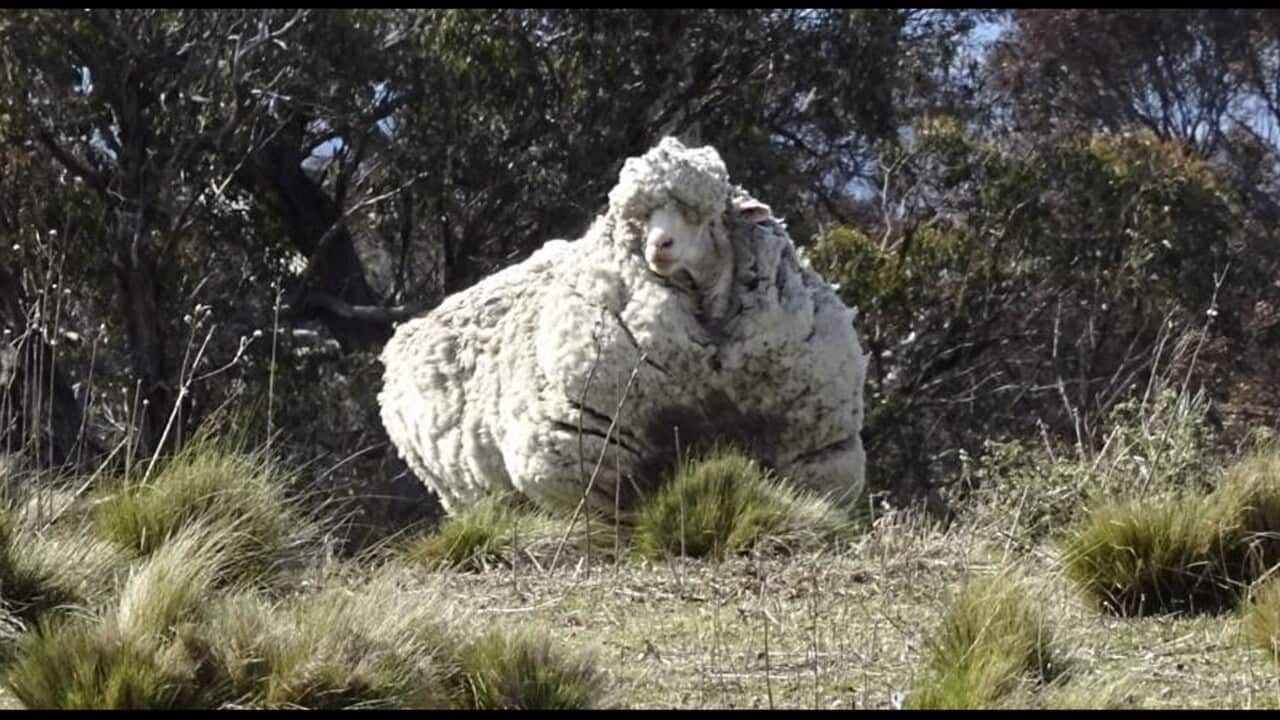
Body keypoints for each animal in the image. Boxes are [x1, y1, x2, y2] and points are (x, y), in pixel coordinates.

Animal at [379, 136, 867, 518]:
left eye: (703, 215)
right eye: (639, 219)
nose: (659, 246)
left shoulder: (815, 453)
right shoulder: (582, 458)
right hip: (466, 491)